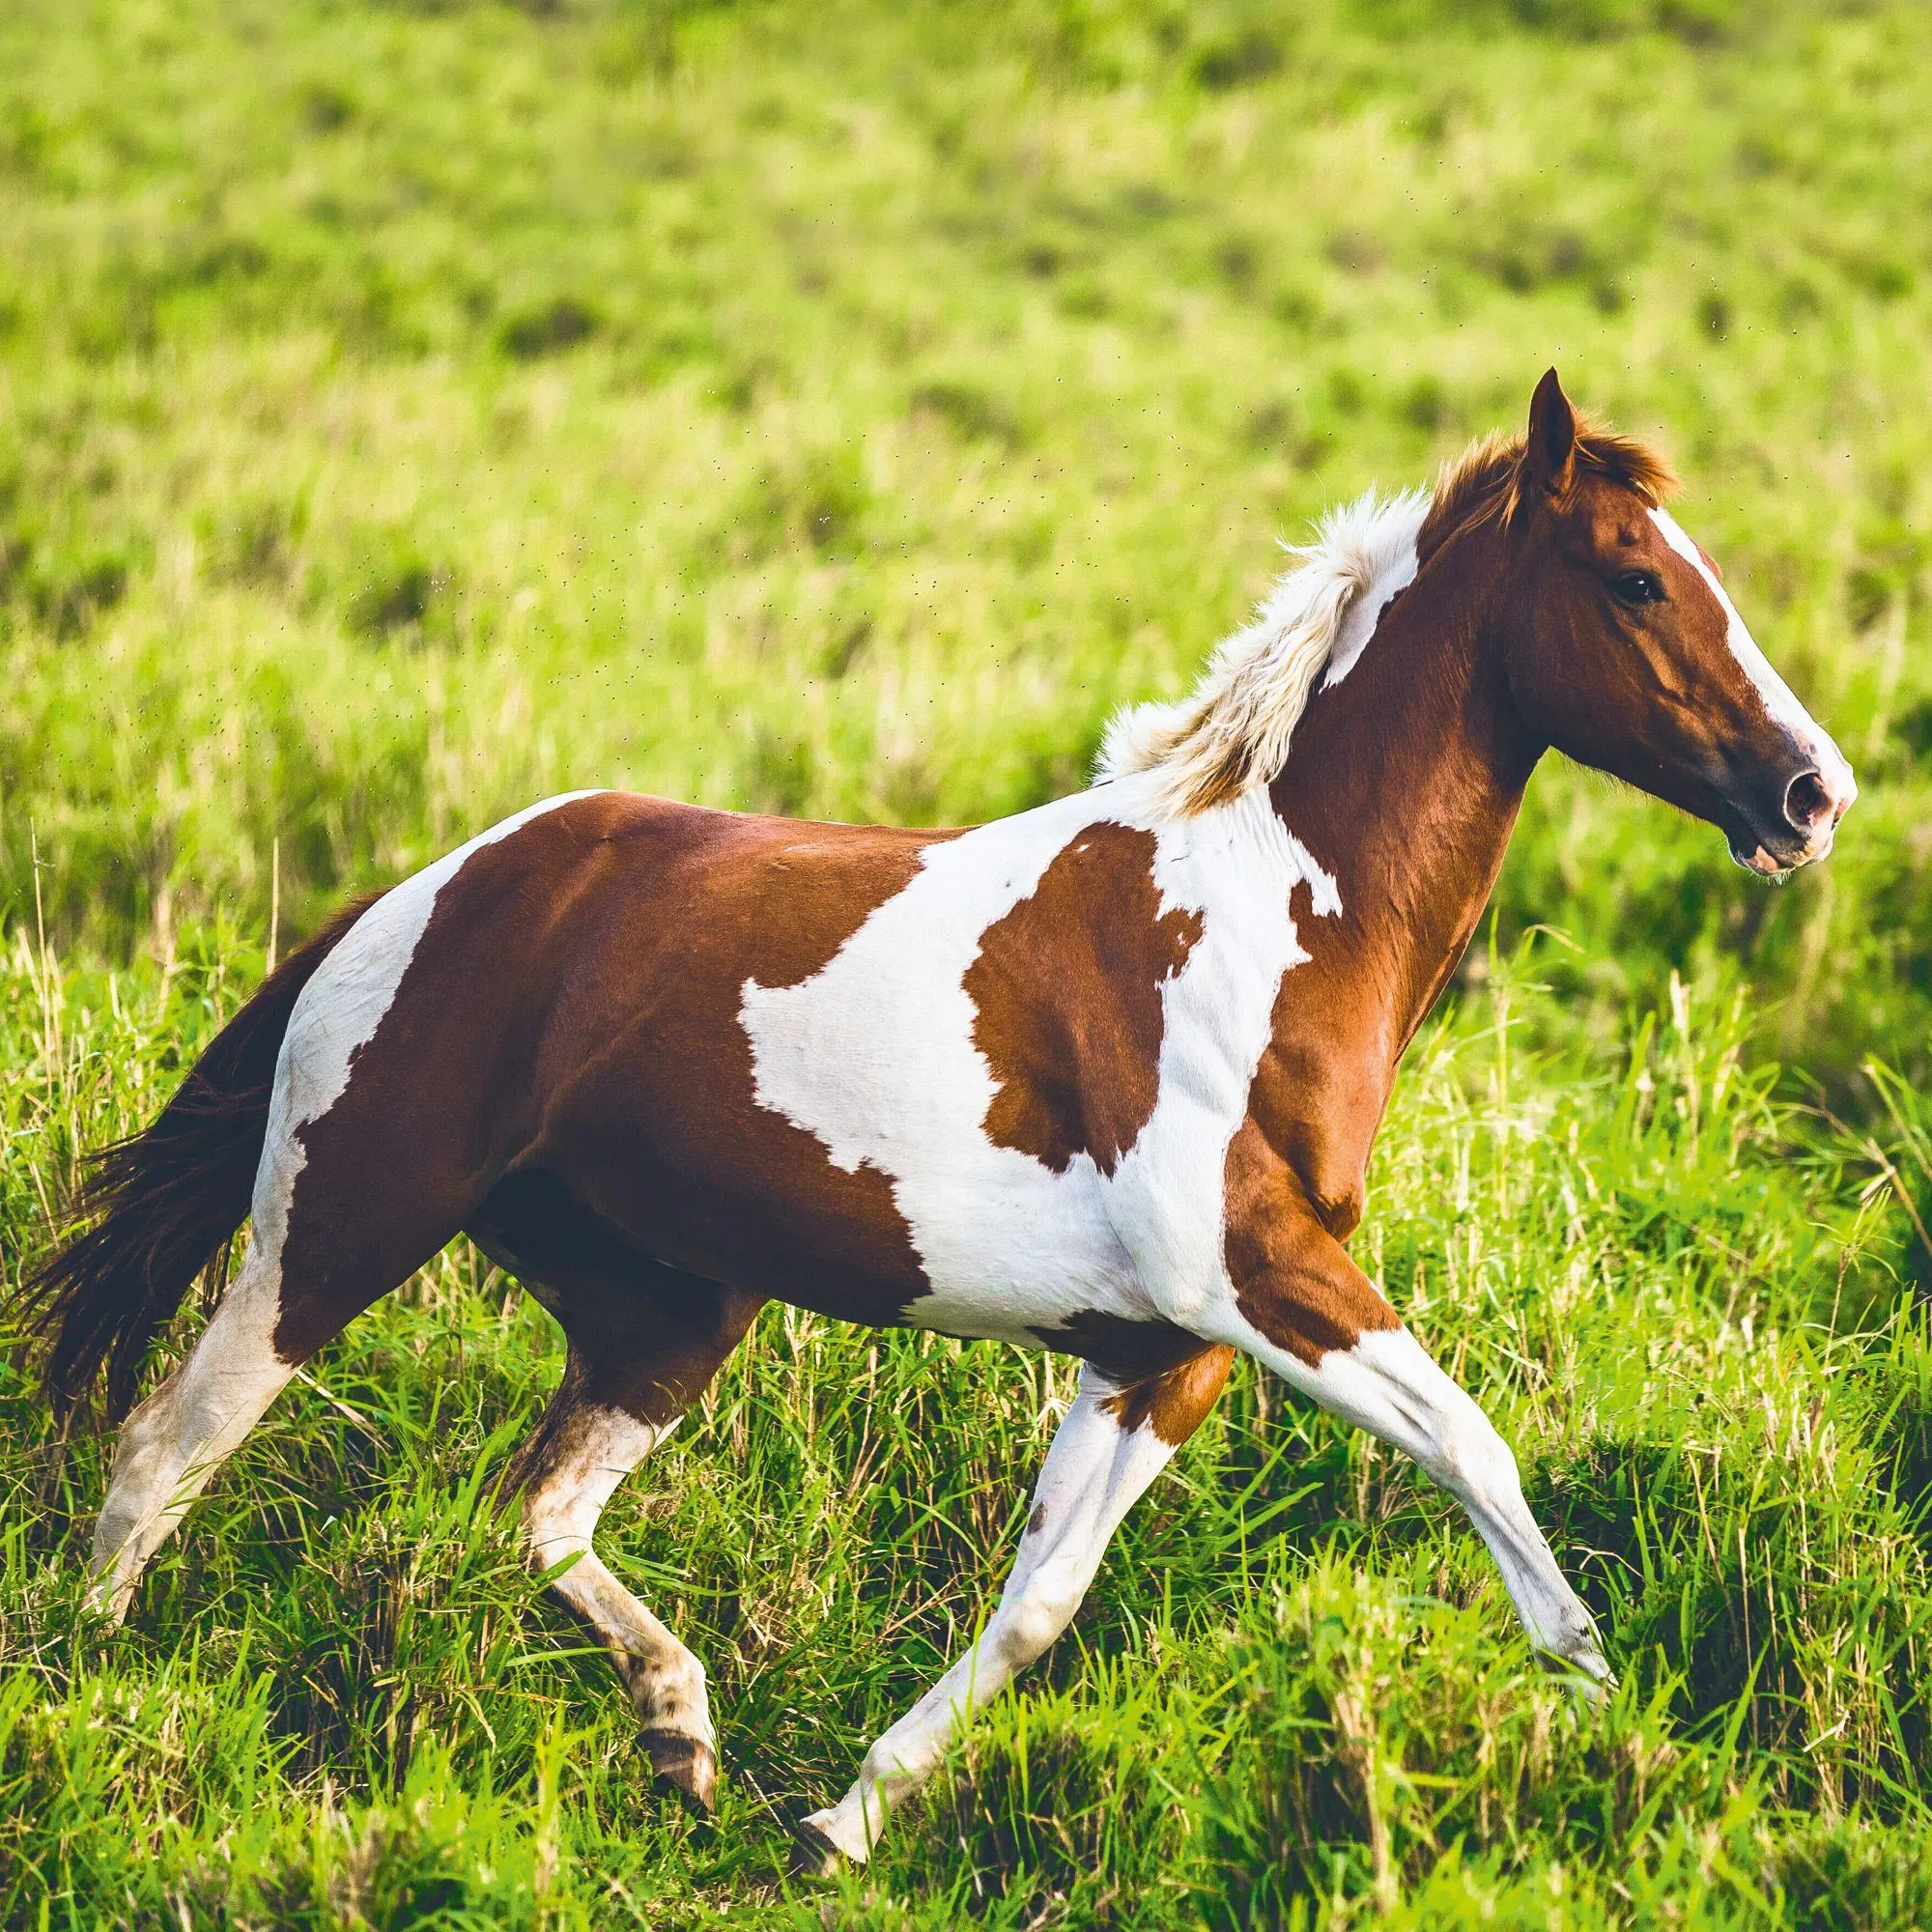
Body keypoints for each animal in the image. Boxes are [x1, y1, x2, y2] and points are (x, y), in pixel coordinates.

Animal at [23, 370, 1854, 1871]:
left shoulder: (1157, 1351)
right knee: (166, 1448)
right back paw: (91, 1696)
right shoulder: (1255, 1280)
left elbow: (1042, 1604)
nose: (1812, 791)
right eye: (1635, 577)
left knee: (537, 1508)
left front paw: (846, 1816)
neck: (1272, 920)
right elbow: (1475, 1447)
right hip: (341, 1224)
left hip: (666, 1310)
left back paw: (683, 1736)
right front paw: (1615, 1726)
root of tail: (421, 893)